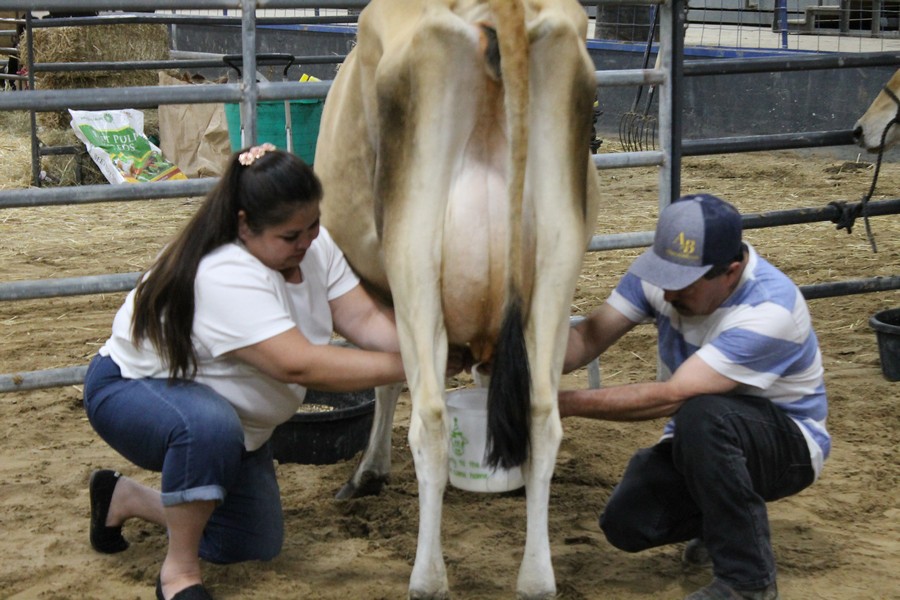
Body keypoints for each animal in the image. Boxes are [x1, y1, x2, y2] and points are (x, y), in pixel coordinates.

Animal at [312, 1, 600, 596]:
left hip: (413, 254)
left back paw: (427, 577)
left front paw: (369, 472)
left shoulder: (384, 287)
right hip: (559, 256)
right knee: (543, 414)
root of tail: (499, 12)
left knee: (430, 419)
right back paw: (536, 577)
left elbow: (386, 382)